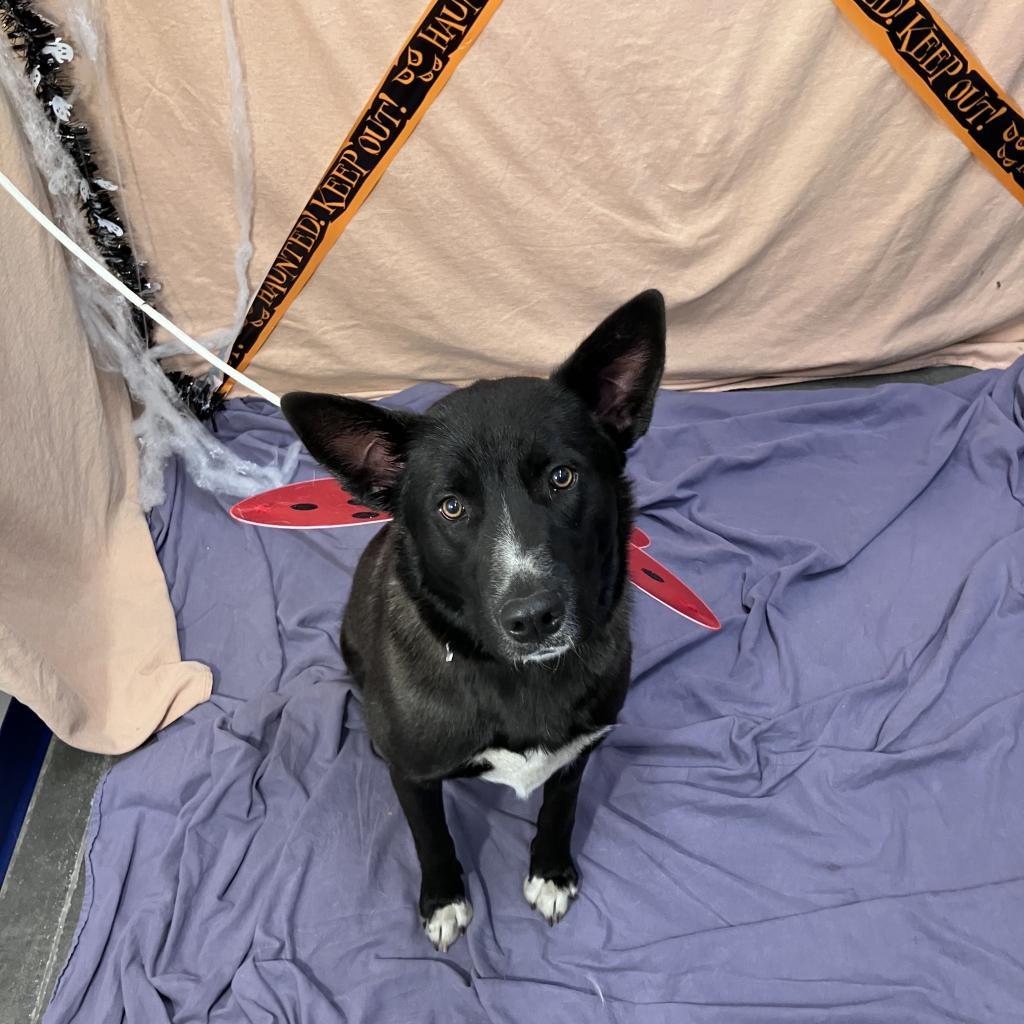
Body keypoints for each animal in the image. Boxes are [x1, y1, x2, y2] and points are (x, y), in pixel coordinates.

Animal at [282, 288, 663, 950]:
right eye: (452, 507)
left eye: (561, 476)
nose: (534, 618)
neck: (515, 675)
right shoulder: (413, 776)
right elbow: (431, 837)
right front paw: (443, 901)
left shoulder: (580, 750)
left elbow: (561, 808)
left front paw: (551, 872)